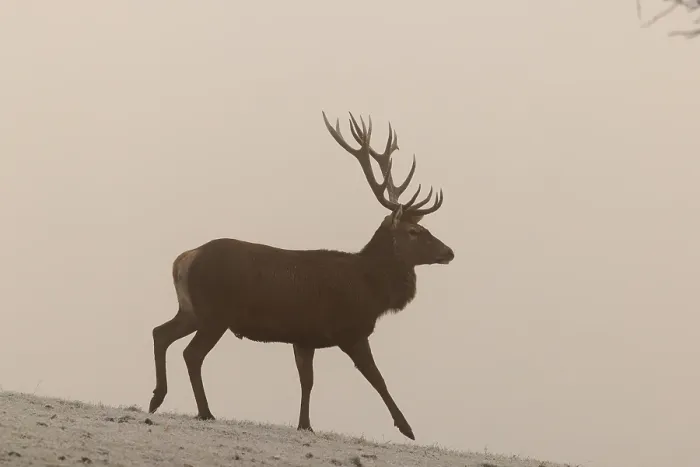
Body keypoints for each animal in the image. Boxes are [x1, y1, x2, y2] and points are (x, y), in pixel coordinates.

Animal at [147, 111, 454, 441]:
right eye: (415, 231)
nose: (449, 252)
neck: (371, 289)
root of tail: (184, 259)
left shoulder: (304, 336)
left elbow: (307, 381)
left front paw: (305, 423)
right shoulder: (350, 330)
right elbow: (377, 378)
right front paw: (407, 428)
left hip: (192, 309)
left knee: (160, 332)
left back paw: (156, 398)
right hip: (215, 314)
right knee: (192, 354)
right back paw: (204, 411)